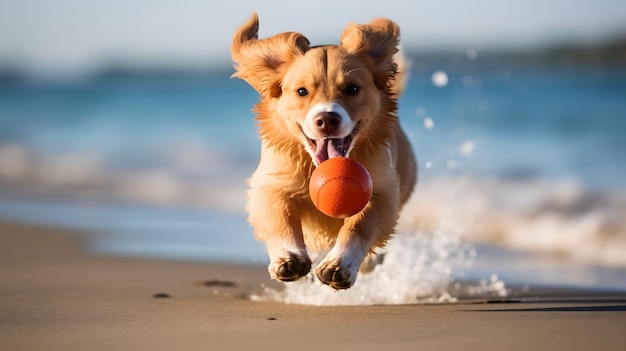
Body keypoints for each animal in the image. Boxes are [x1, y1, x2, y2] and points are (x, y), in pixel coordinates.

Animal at [229, 11, 414, 292]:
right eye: (302, 91)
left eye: (352, 88)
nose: (327, 119)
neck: (316, 166)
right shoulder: (271, 182)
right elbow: (279, 215)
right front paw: (288, 258)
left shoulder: (382, 188)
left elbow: (361, 223)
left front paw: (340, 264)